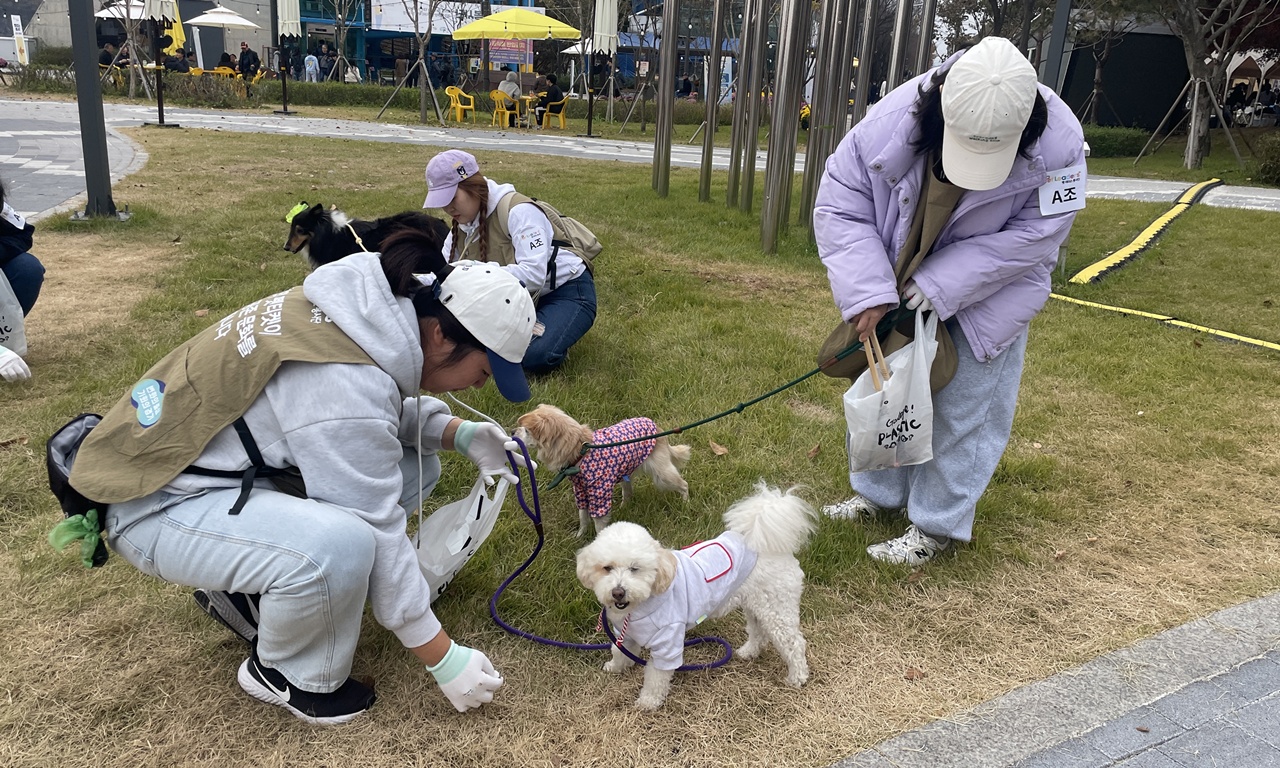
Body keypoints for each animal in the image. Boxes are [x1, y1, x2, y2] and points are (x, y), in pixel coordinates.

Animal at [514, 404, 691, 537]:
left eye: (525, 430)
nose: (512, 431)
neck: (580, 450)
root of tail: (657, 427)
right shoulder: (580, 491)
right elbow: (583, 517)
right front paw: (580, 535)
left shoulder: (599, 494)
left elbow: (598, 523)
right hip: (626, 472)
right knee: (628, 492)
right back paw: (625, 507)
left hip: (662, 476)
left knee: (683, 484)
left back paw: (686, 503)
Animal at [575, 481, 817, 710]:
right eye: (607, 568)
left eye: (635, 568)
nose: (618, 592)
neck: (640, 606)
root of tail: (765, 543)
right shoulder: (626, 634)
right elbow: (618, 650)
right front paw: (616, 667)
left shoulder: (668, 642)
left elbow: (656, 677)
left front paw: (648, 702)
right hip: (757, 605)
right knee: (758, 631)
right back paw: (748, 652)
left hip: (778, 609)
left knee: (794, 643)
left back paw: (797, 677)